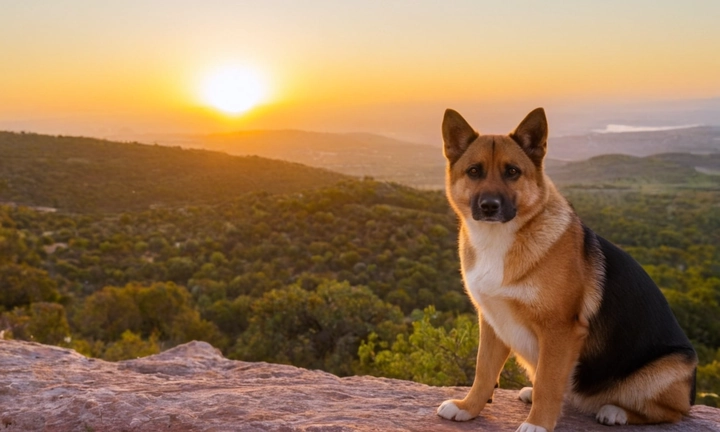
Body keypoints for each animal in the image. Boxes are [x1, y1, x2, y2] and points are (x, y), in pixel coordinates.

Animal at [436, 108, 696, 432]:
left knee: (670, 412)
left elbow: (549, 382)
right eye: (474, 171)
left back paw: (615, 412)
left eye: (512, 172)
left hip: (665, 371)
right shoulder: (493, 322)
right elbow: (484, 371)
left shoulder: (559, 330)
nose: (489, 206)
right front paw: (467, 408)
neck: (501, 238)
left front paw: (538, 424)